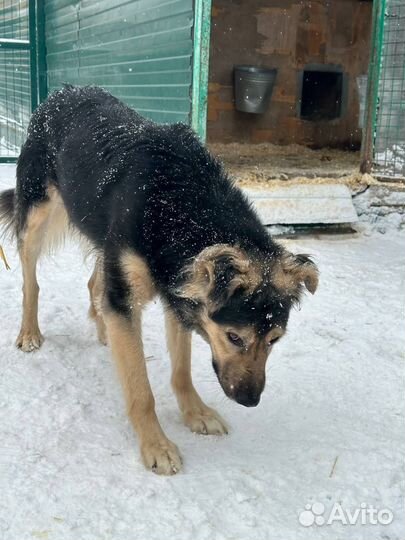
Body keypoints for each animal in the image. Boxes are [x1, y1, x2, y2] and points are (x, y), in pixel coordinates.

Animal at [0, 84, 318, 472]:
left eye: (274, 339)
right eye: (233, 337)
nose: (250, 400)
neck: (179, 207)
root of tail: (63, 91)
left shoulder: (175, 292)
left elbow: (181, 371)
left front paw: (196, 413)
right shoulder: (132, 296)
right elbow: (141, 390)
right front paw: (156, 445)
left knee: (95, 286)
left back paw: (103, 330)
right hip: (36, 217)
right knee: (31, 281)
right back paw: (30, 332)